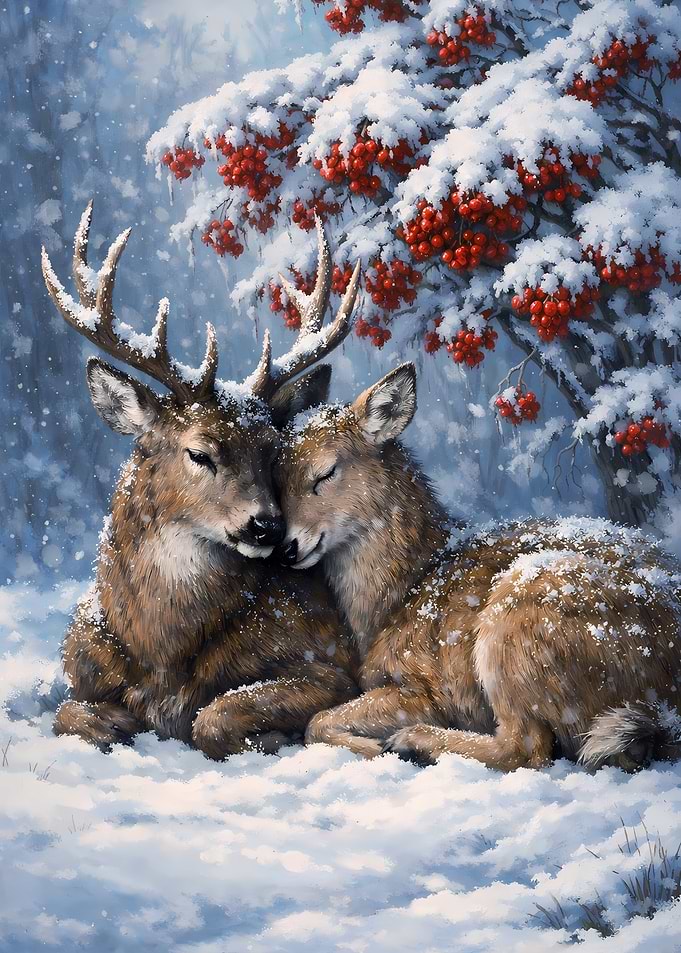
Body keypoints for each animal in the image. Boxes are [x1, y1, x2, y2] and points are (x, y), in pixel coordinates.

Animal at [41, 201, 362, 759]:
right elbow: (68, 713)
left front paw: (271, 735)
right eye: (199, 452)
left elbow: (213, 716)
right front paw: (113, 722)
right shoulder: (81, 668)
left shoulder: (330, 663)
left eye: (273, 453)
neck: (163, 652)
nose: (266, 527)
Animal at [276, 362, 681, 772]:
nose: (286, 548)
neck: (399, 592)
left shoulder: (425, 689)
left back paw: (411, 742)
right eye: (277, 478)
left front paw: (372, 748)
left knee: (528, 748)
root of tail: (667, 711)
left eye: (326, 472)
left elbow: (316, 721)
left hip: (518, 622)